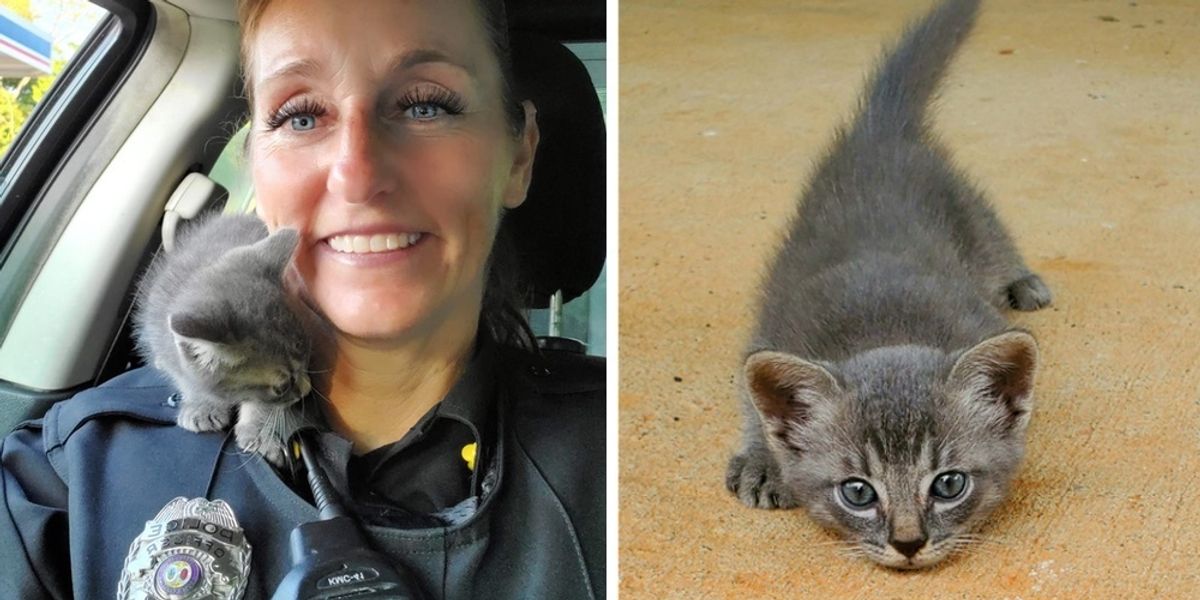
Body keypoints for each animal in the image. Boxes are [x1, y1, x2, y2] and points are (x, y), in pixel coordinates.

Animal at [132, 213, 314, 465]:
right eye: (282, 387)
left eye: (306, 354)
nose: (307, 390)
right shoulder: (163, 338)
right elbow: (186, 376)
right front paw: (202, 405)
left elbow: (258, 404)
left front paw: (258, 433)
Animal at [720, 0, 1051, 568]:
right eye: (858, 492)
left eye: (949, 484)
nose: (909, 542)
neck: (885, 327)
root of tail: (882, 132)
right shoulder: (776, 324)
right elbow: (750, 393)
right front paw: (763, 458)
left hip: (963, 208)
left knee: (991, 231)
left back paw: (1022, 279)